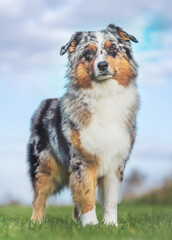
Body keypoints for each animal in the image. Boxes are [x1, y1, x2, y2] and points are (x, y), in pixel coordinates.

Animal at [27, 23, 140, 226]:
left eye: (112, 49)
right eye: (89, 52)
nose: (102, 65)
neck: (104, 96)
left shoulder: (115, 162)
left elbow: (110, 199)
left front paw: (110, 225)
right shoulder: (82, 159)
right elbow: (85, 194)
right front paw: (91, 225)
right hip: (44, 165)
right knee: (39, 195)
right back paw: (36, 222)